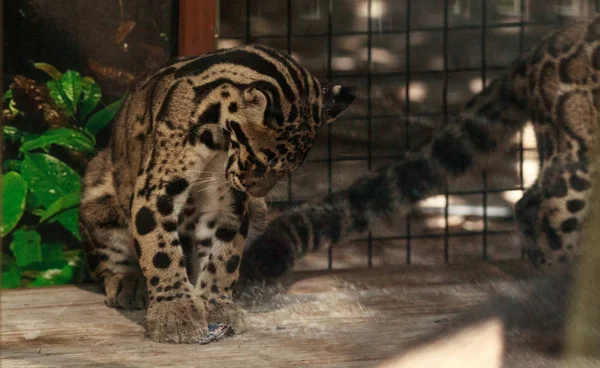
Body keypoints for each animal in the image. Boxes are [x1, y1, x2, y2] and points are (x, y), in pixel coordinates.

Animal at [77, 44, 354, 344]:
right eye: (261, 162)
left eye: (285, 172)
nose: (254, 190)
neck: (219, 140)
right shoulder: (156, 189)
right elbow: (160, 251)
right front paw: (175, 312)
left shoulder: (228, 203)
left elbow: (225, 255)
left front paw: (215, 304)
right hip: (97, 188)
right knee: (104, 262)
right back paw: (128, 281)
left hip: (259, 209)